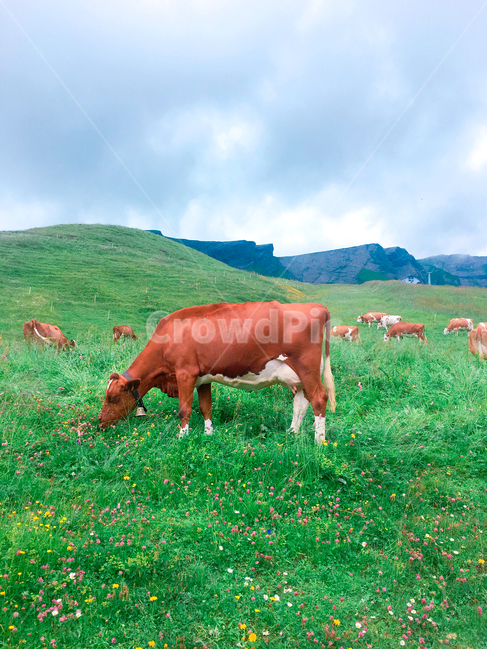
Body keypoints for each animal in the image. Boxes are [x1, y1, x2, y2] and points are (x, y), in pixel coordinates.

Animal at [99, 301, 336, 445]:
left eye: (113, 397)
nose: (99, 421)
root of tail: (316, 306)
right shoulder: (203, 377)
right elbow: (206, 406)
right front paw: (208, 433)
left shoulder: (185, 373)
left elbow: (184, 409)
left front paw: (182, 437)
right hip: (300, 376)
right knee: (301, 403)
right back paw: (292, 433)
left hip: (307, 369)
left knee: (319, 399)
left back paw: (318, 441)